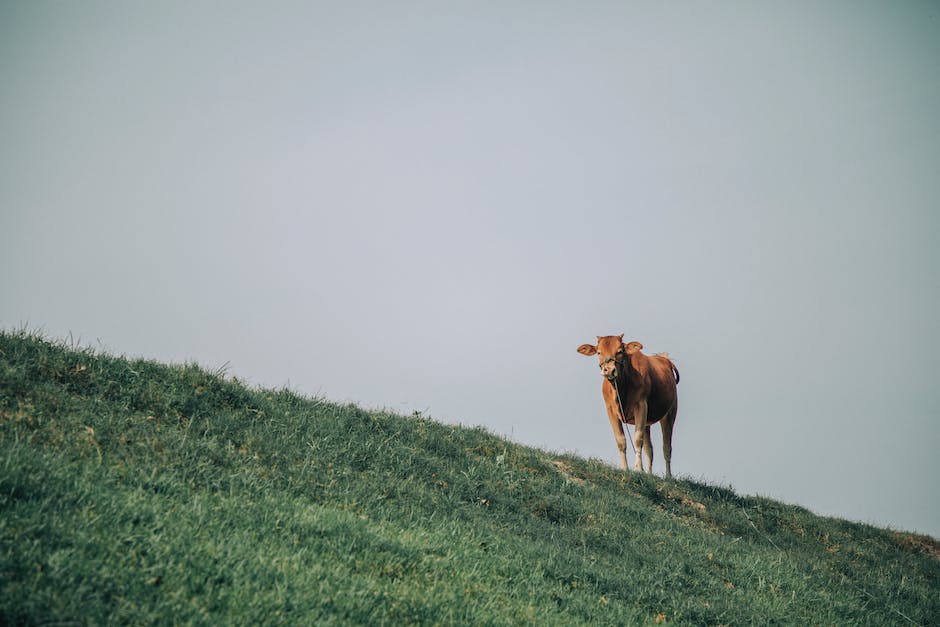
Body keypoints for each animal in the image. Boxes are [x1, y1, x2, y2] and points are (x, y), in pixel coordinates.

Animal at [576, 338, 680, 476]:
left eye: (620, 351)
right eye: (598, 352)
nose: (609, 370)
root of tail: (663, 357)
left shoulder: (641, 405)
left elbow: (637, 439)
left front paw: (638, 469)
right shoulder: (610, 409)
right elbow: (621, 440)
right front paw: (625, 468)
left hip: (670, 412)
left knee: (667, 447)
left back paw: (668, 476)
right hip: (648, 420)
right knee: (649, 448)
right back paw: (649, 474)